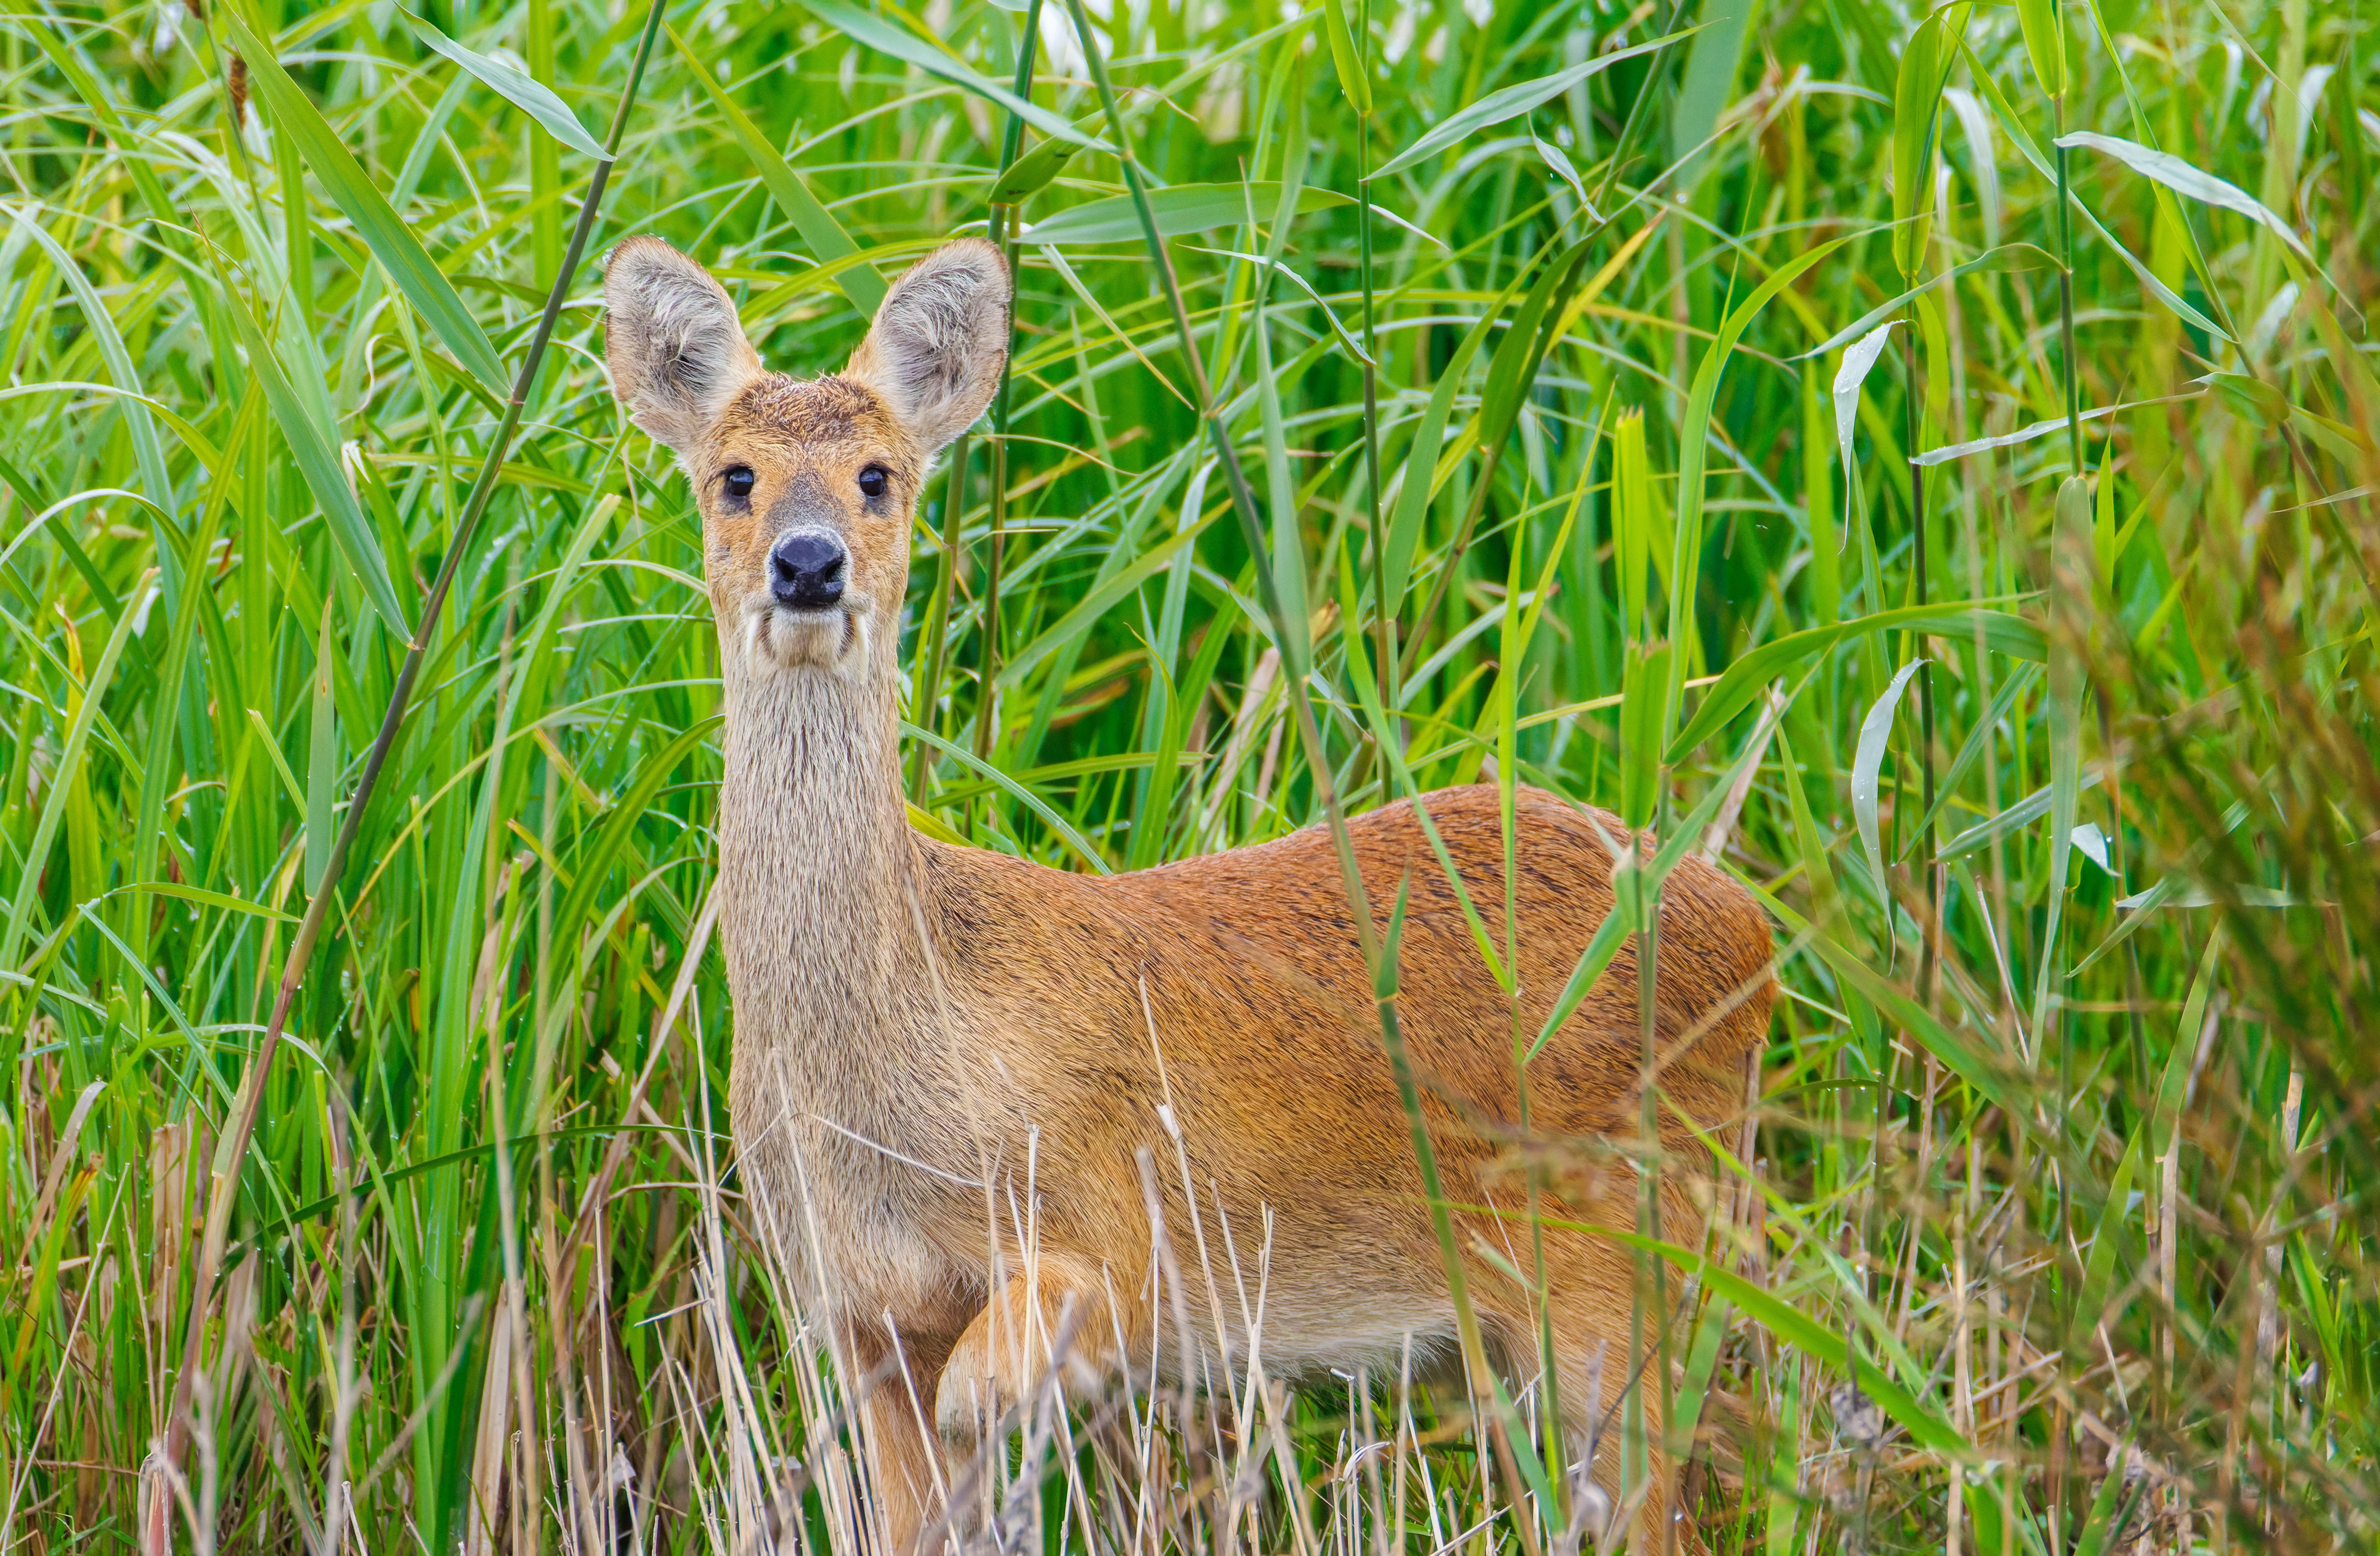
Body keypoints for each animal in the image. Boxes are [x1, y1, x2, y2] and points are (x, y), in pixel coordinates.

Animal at [602, 233, 1776, 1553]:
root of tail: (1746, 921)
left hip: (1628, 1261)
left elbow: (1003, 1374)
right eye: (734, 476)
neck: (914, 1060)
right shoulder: (854, 1313)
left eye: (876, 476)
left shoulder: (1113, 1233)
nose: (808, 564)